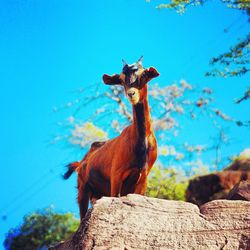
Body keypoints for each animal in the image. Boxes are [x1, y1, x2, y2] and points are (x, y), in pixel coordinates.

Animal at [64, 57, 158, 220]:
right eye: (121, 79)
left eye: (143, 75)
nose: (131, 94)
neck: (141, 142)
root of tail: (81, 162)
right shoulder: (116, 175)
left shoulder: (143, 179)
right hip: (83, 189)